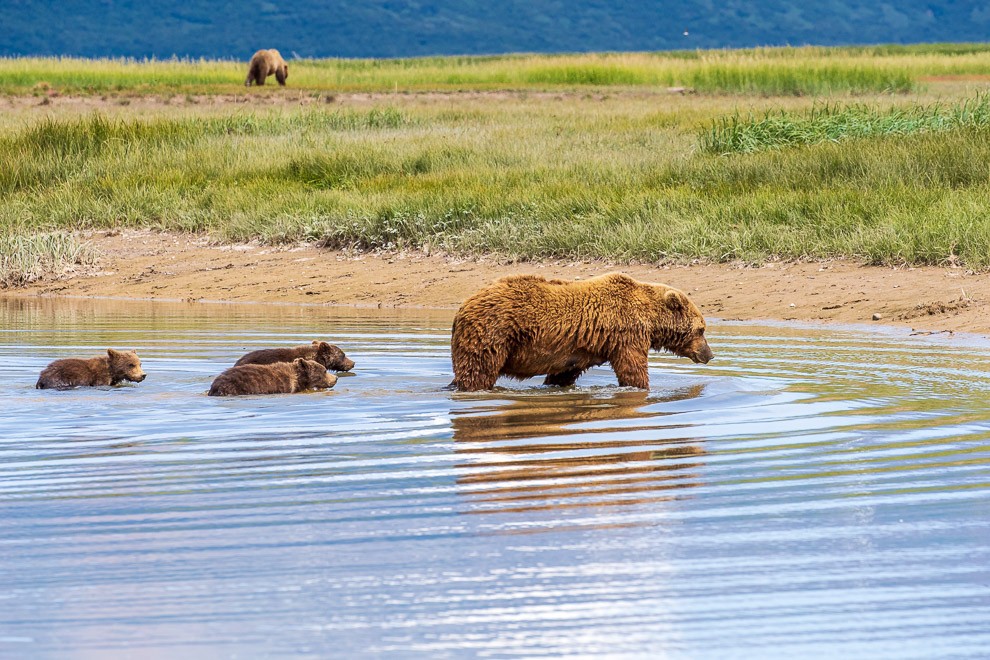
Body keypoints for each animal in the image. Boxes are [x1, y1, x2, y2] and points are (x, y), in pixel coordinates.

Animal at [450, 274, 712, 392]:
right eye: (701, 329)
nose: (709, 354)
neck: (649, 317)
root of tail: (462, 308)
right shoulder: (626, 334)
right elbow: (632, 368)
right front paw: (642, 386)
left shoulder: (577, 350)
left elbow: (562, 374)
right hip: (492, 334)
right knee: (478, 372)